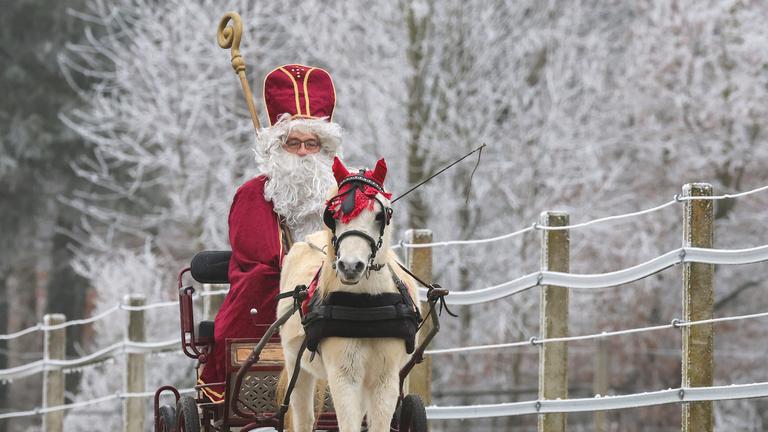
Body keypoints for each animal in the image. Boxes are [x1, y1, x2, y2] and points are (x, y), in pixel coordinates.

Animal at [277, 157, 420, 432]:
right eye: (332, 215)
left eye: (380, 215)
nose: (351, 266)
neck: (367, 307)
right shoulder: (344, 375)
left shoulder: (386, 378)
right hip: (296, 365)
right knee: (303, 417)